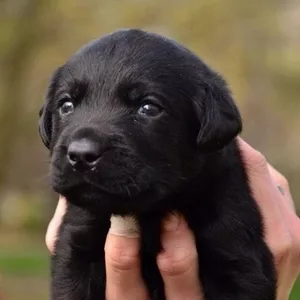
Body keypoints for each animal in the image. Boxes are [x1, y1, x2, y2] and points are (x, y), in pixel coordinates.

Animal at [39, 28, 276, 300]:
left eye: (148, 108)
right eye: (66, 105)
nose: (80, 154)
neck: (149, 214)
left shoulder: (237, 258)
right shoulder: (75, 248)